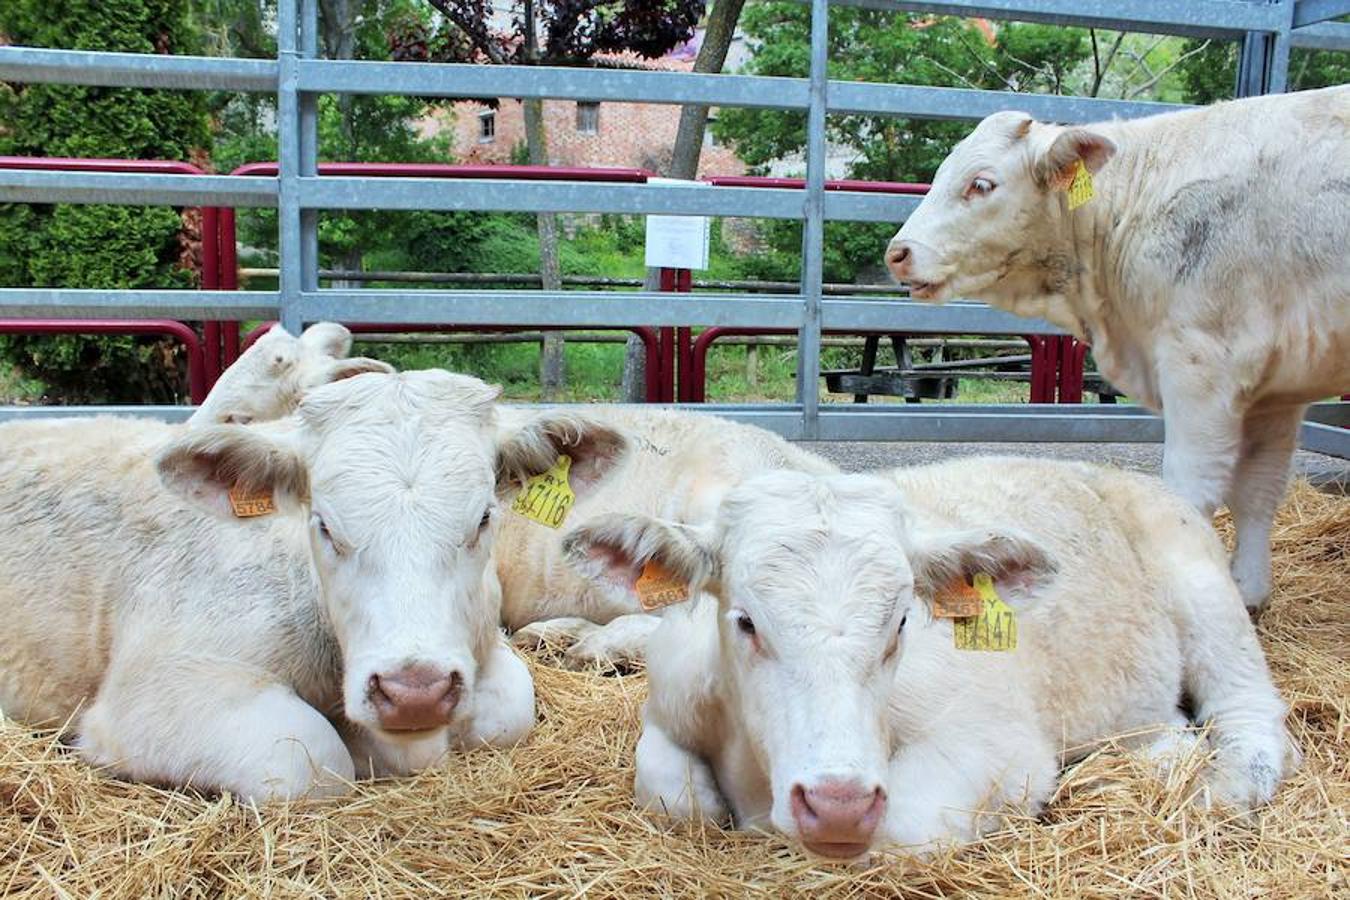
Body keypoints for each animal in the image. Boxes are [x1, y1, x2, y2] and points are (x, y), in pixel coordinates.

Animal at [0, 369, 626, 798]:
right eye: (324, 523)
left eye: (483, 518)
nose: (413, 691)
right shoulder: (151, 690)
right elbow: (312, 760)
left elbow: (508, 709)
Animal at [561, 461, 1296, 863]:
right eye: (745, 620)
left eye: (902, 622)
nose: (836, 805)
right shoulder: (667, 708)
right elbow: (672, 797)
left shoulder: (997, 749)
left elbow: (902, 826)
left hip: (1205, 591)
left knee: (1251, 710)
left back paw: (1225, 783)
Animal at [885, 86, 1350, 612]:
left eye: (981, 184)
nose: (898, 253)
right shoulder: (1277, 390)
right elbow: (1258, 489)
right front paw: (1249, 592)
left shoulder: (1199, 365)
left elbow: (1190, 493)